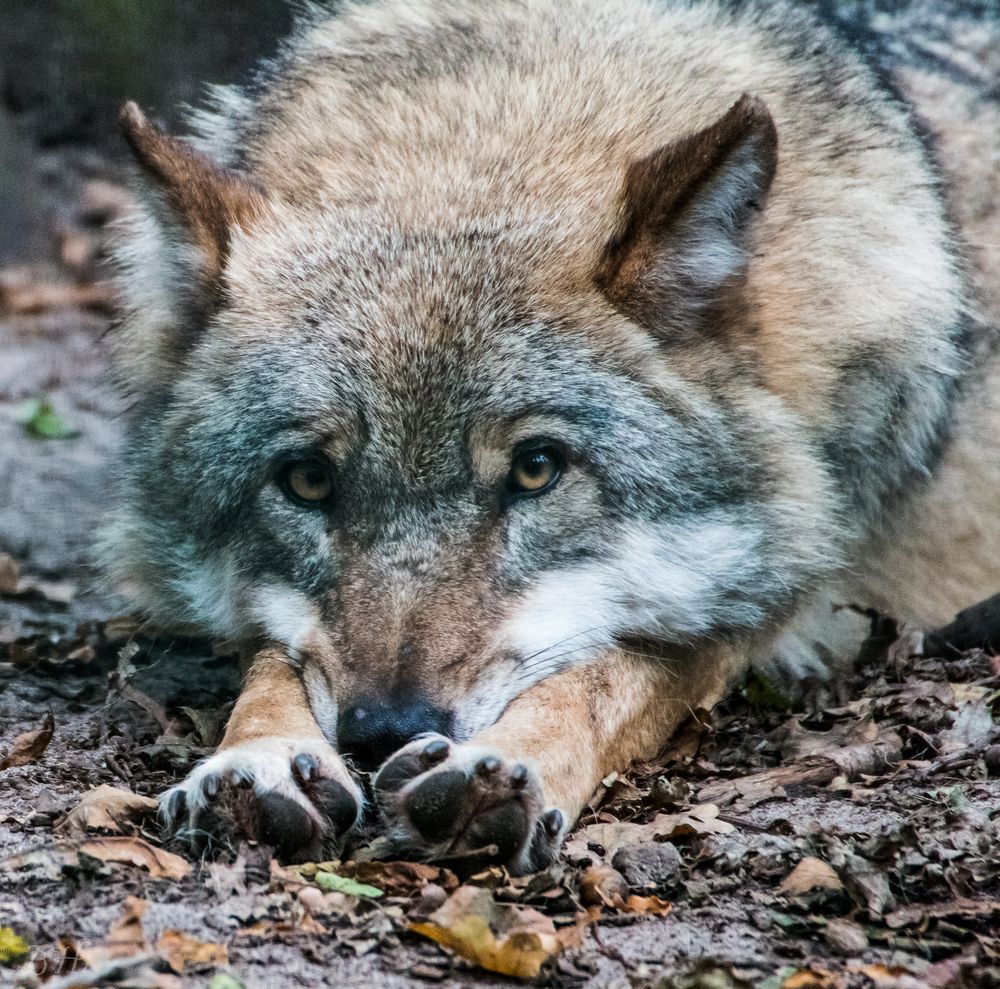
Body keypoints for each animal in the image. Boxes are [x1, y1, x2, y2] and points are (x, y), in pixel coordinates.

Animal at [103, 0, 1000, 864]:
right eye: (307, 480)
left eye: (537, 468)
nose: (383, 732)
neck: (488, 128)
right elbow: (269, 663)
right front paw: (255, 757)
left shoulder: (779, 600)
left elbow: (601, 674)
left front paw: (501, 766)